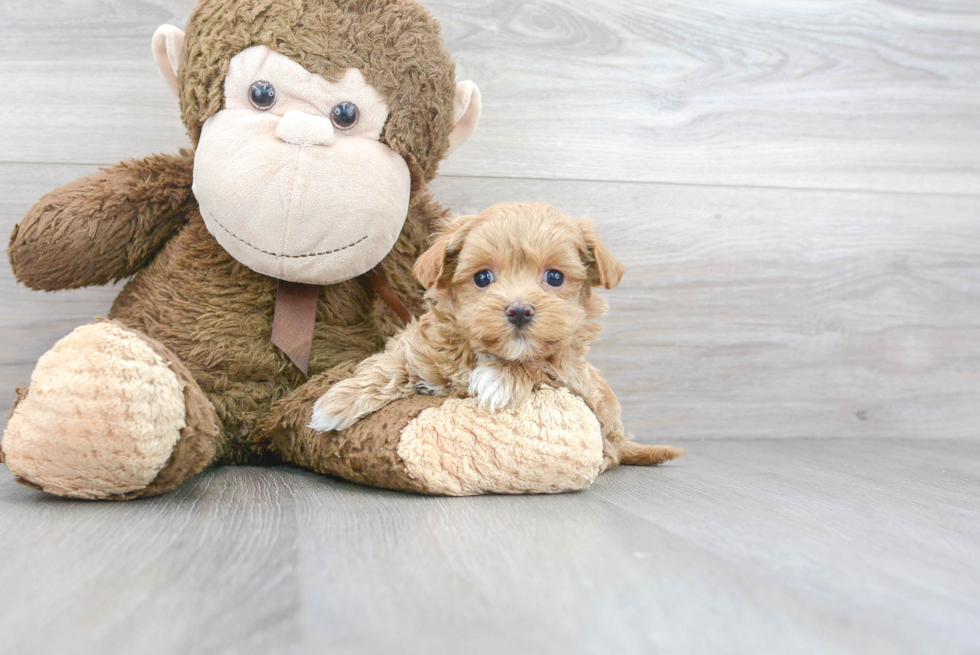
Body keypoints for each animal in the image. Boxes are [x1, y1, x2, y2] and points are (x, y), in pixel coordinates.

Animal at [312, 202, 680, 468]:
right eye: (483, 277)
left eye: (555, 277)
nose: (519, 311)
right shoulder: (420, 351)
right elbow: (389, 366)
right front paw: (337, 402)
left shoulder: (574, 377)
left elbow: (540, 365)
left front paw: (500, 378)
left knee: (612, 451)